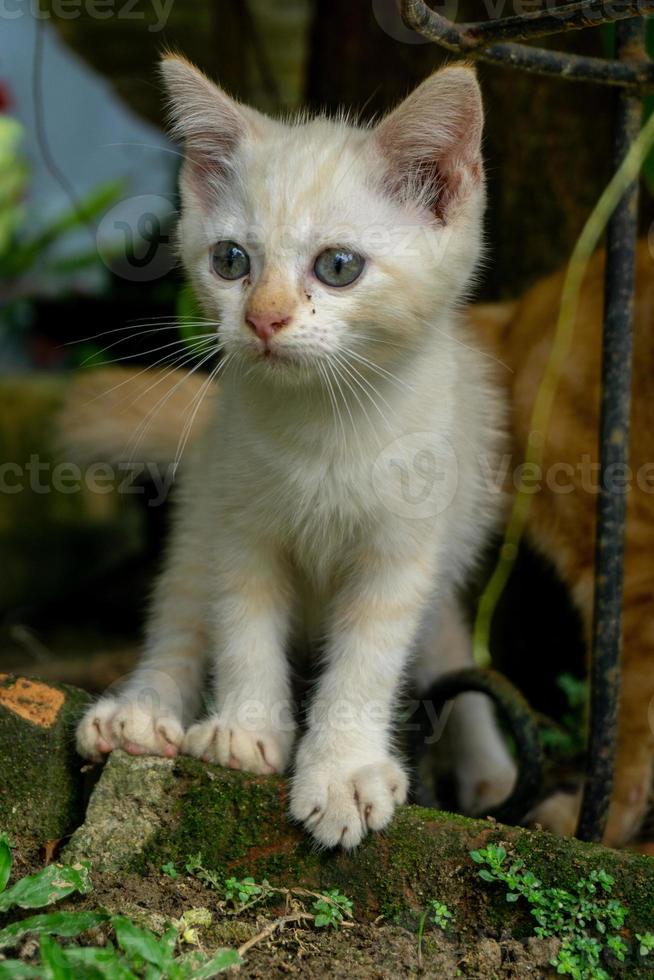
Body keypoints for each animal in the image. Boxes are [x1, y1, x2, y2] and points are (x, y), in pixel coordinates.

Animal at [78, 57, 516, 848]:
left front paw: (343, 770)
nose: (263, 319)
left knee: (445, 641)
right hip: (199, 512)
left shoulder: (402, 551)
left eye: (338, 266)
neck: (324, 430)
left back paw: (485, 763)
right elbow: (242, 625)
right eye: (231, 261)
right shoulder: (239, 529)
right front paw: (245, 728)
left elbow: (369, 659)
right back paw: (140, 714)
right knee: (180, 612)